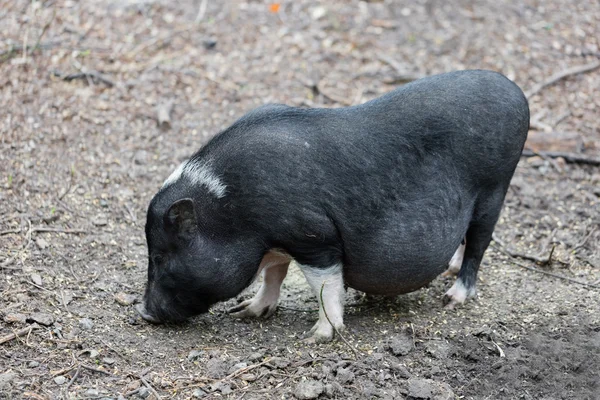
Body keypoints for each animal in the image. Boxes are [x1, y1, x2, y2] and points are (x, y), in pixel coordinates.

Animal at [136, 70, 528, 342]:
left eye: (161, 258)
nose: (145, 314)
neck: (231, 208)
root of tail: (516, 91)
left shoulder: (314, 235)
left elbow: (325, 286)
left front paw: (317, 337)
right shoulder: (278, 242)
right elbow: (274, 272)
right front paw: (246, 312)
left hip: (495, 190)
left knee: (479, 245)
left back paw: (453, 297)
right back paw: (449, 270)